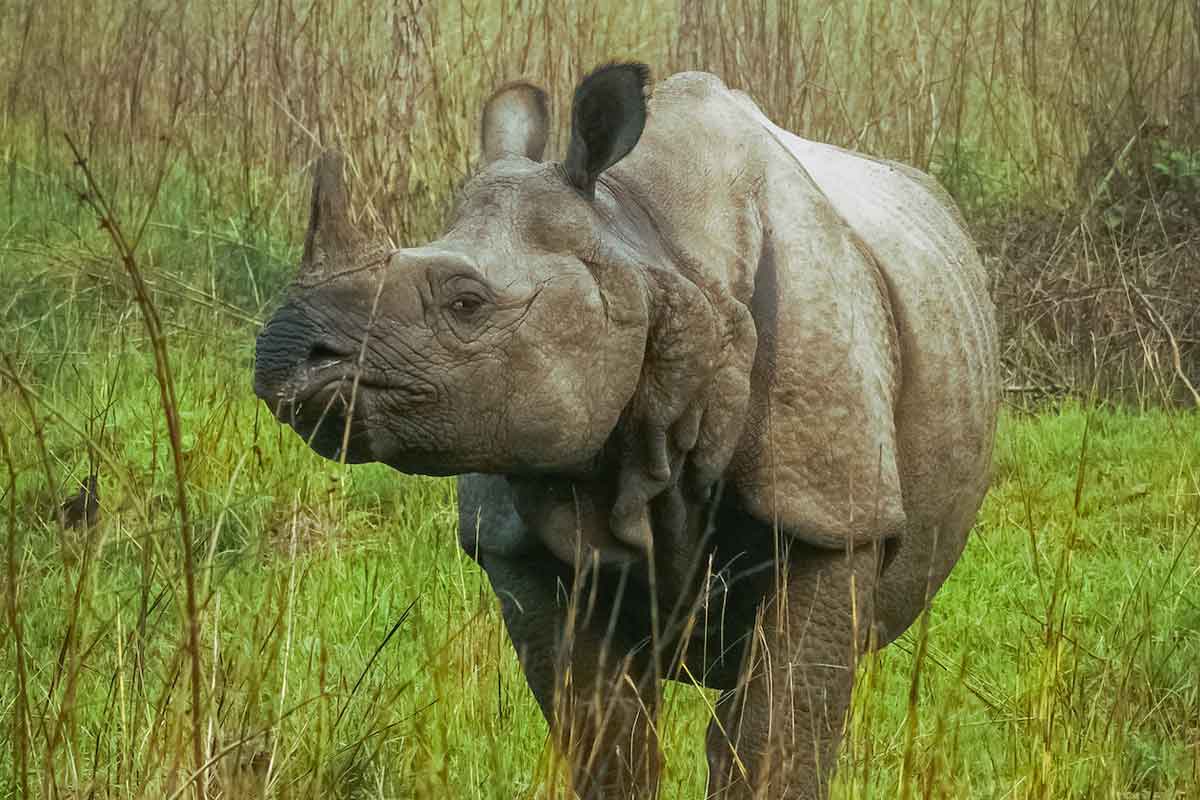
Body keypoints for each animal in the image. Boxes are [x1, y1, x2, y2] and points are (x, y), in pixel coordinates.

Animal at [253, 63, 999, 799]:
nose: (284, 351)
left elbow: (772, 739)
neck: (652, 257)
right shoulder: (518, 544)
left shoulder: (829, 512)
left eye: (466, 303)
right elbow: (606, 737)